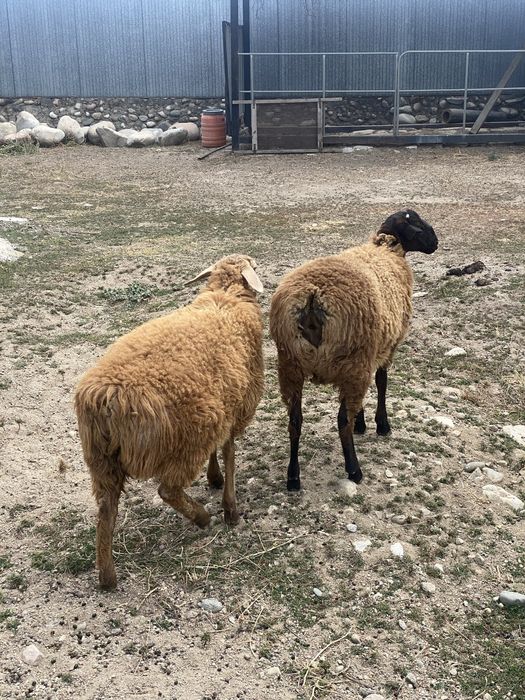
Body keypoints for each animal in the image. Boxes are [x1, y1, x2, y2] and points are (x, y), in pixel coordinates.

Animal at [74, 254, 265, 588]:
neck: (226, 297)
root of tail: (106, 396)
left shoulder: (222, 407)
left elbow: (221, 453)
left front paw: (214, 479)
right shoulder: (234, 407)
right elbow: (229, 453)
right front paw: (230, 507)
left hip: (102, 459)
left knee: (106, 509)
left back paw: (107, 576)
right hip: (185, 440)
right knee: (168, 490)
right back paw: (202, 517)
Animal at [269, 209, 438, 491]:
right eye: (416, 221)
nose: (435, 243)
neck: (387, 249)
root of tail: (313, 299)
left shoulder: (369, 354)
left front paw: (364, 422)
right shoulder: (384, 348)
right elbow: (381, 382)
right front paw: (380, 424)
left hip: (290, 364)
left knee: (294, 421)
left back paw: (293, 477)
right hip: (351, 361)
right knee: (341, 421)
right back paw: (354, 469)